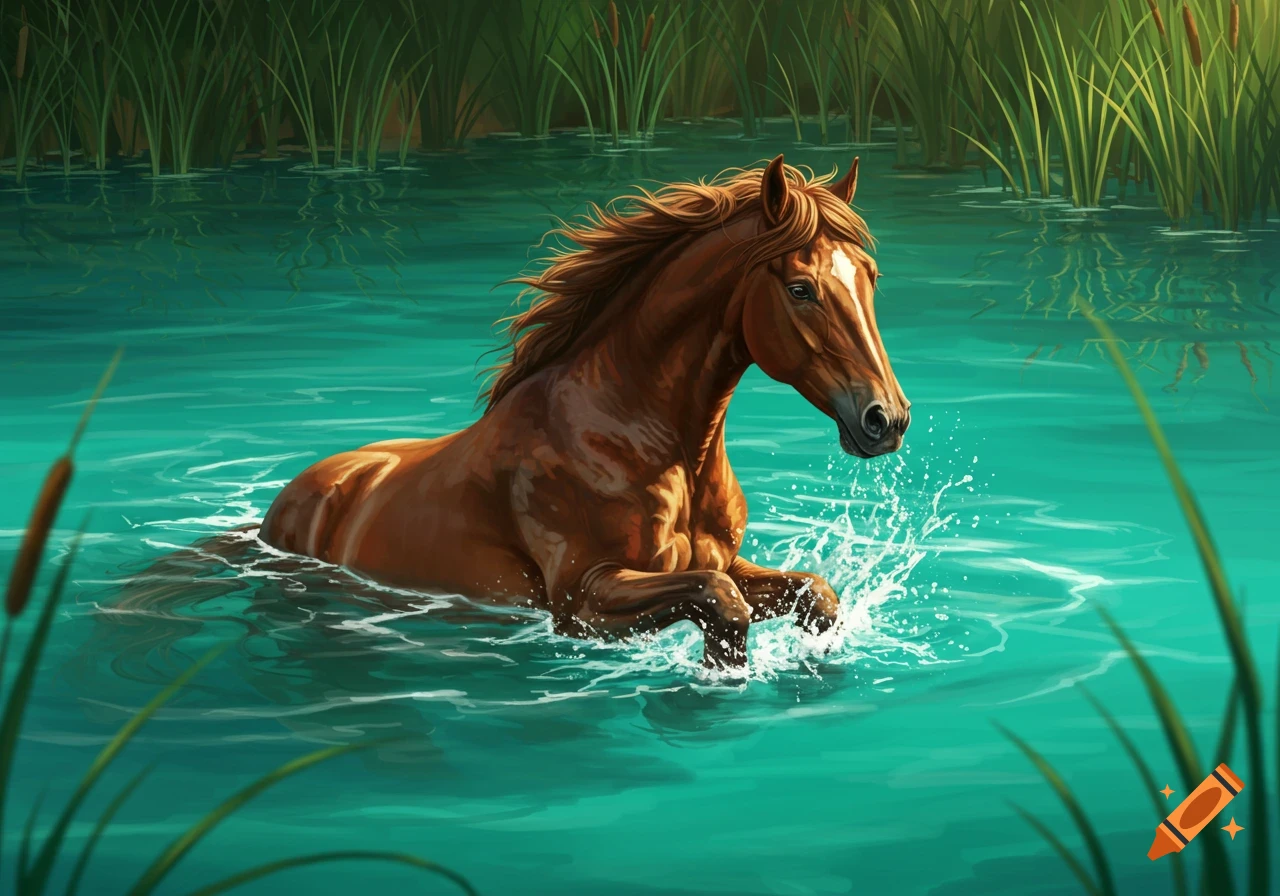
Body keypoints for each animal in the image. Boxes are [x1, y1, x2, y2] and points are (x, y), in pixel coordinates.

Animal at [258, 154, 910, 669]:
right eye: (801, 289)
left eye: (872, 277)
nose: (886, 419)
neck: (651, 441)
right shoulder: (583, 598)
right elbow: (721, 602)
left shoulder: (731, 562)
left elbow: (814, 593)